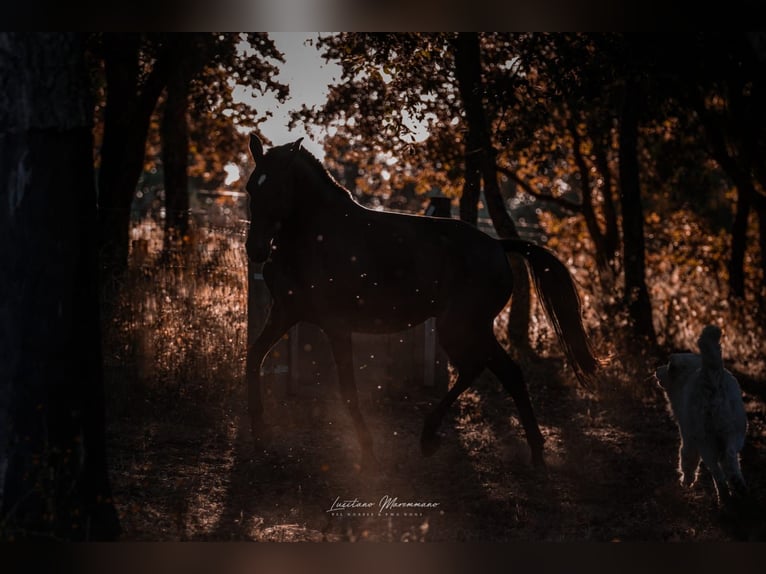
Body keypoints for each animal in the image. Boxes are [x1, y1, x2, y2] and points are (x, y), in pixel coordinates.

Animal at [244, 136, 600, 472]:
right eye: (251, 187)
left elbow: (348, 390)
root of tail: (498, 245)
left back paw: (434, 437)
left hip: (459, 327)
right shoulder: (285, 313)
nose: (256, 250)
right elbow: (254, 357)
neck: (317, 238)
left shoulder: (337, 326)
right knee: (504, 372)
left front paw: (368, 454)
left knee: (481, 369)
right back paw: (533, 453)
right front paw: (260, 434)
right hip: (471, 328)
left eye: (278, 188)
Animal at [656, 326, 752, 506]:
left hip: (706, 441)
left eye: (667, 366)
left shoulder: (688, 437)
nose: (656, 370)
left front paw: (686, 481)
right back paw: (739, 487)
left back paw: (724, 497)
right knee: (730, 460)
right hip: (735, 432)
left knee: (717, 472)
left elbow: (687, 459)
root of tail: (711, 376)